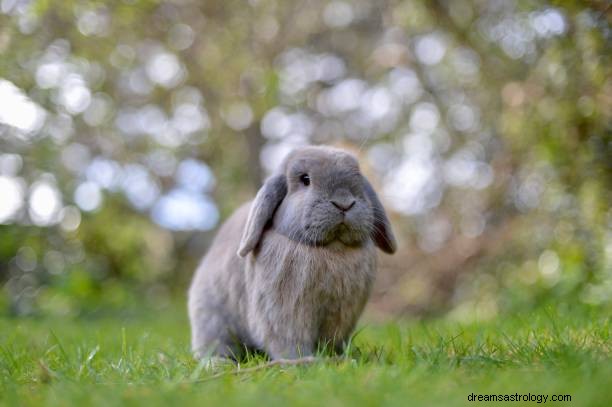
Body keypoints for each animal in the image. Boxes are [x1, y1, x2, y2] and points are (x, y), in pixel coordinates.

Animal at [188, 145, 396, 362]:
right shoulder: (284, 313)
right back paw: (216, 363)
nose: (344, 203)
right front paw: (303, 361)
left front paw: (337, 357)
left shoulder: (341, 316)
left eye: (358, 177)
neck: (332, 249)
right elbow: (288, 340)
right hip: (212, 318)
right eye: (305, 179)